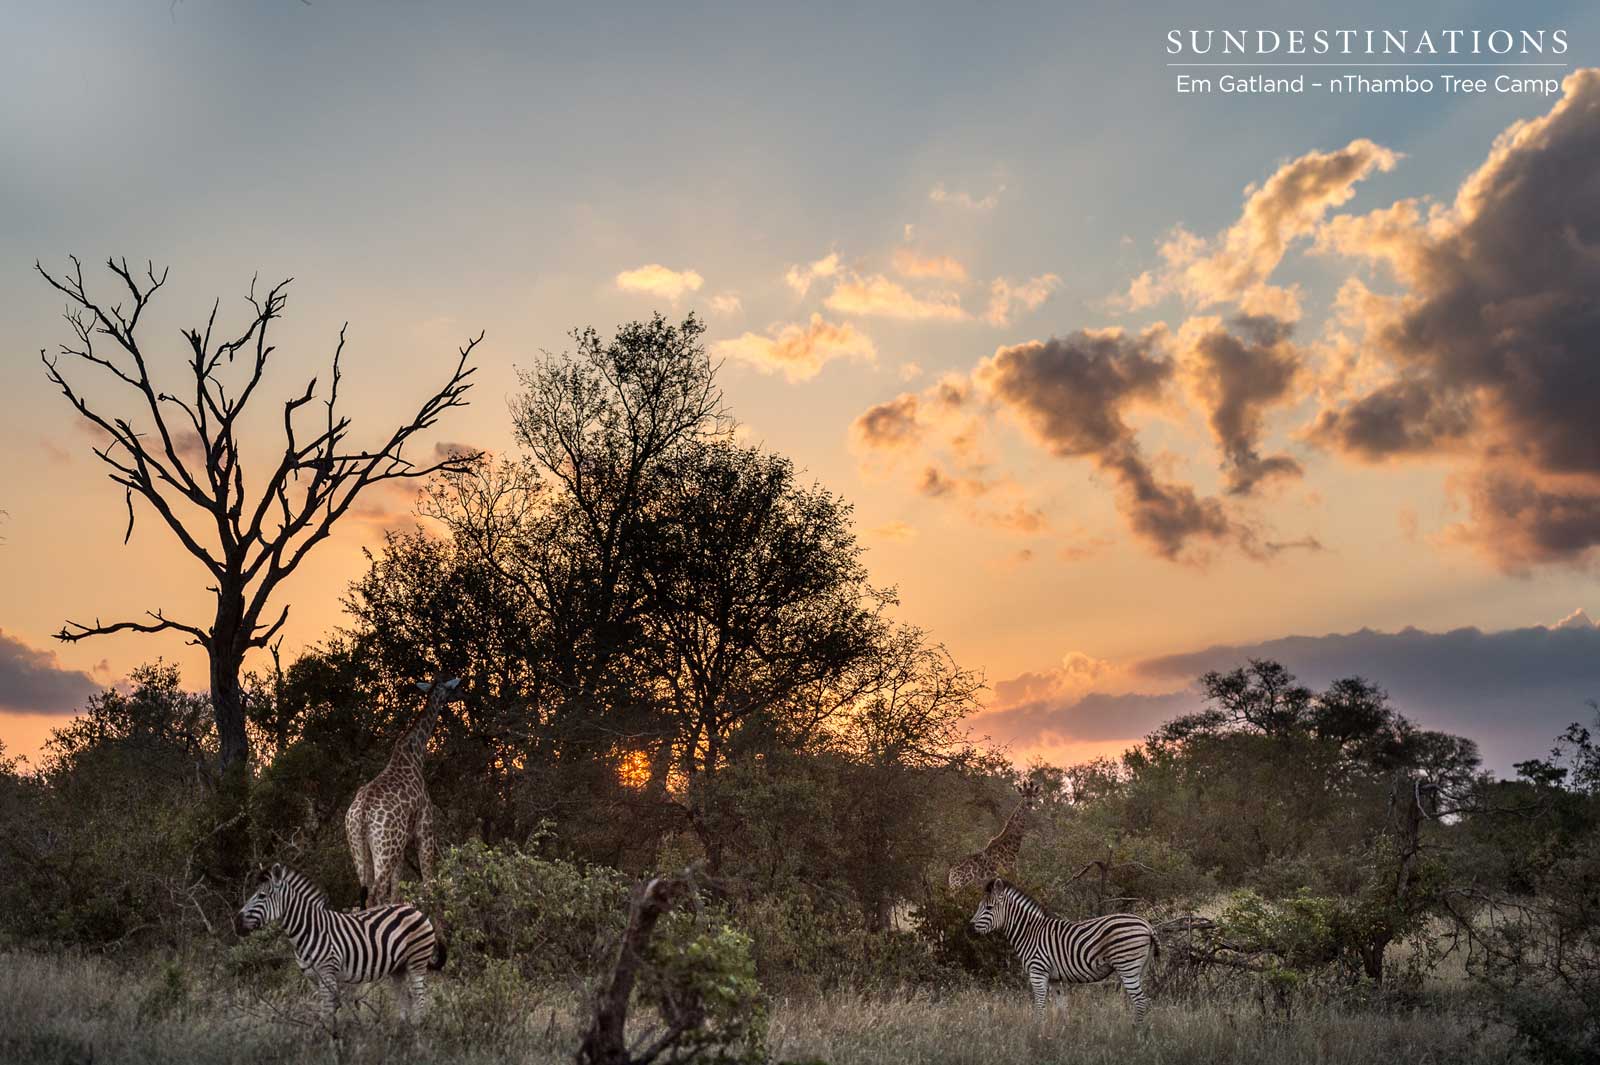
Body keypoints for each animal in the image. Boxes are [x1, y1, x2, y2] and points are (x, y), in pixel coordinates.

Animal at [234, 863, 445, 1019]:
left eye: (261, 896)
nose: (236, 923)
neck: (309, 930)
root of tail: (415, 909)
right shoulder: (313, 979)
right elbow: (326, 1013)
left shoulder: (327, 973)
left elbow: (328, 1014)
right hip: (397, 969)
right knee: (405, 1000)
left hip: (417, 961)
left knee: (419, 999)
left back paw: (418, 1033)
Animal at [970, 877, 1157, 1021]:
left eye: (989, 908)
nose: (971, 926)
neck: (1030, 932)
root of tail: (1147, 925)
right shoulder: (1054, 978)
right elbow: (1062, 1007)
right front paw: (1062, 1033)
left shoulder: (1038, 972)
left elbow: (1040, 1007)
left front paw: (1037, 1033)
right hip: (1140, 968)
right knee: (1144, 1002)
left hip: (1127, 966)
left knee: (1141, 1002)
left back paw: (1136, 1032)